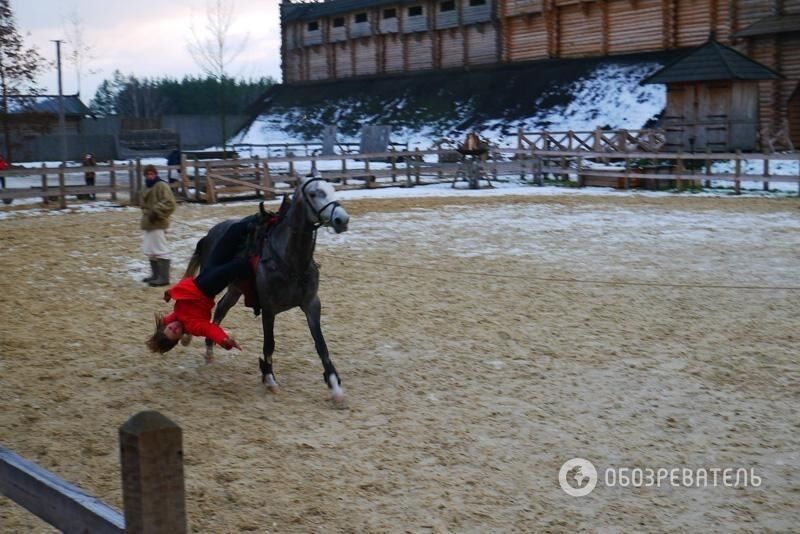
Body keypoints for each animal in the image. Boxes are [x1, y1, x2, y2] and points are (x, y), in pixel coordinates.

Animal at [189, 176, 352, 406]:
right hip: (210, 282)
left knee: (221, 308)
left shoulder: (312, 304)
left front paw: (334, 386)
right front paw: (269, 379)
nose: (342, 219)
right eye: (313, 193)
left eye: (332, 189)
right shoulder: (268, 309)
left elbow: (321, 345)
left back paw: (210, 350)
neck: (290, 261)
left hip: (235, 289)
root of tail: (208, 234)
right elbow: (269, 344)